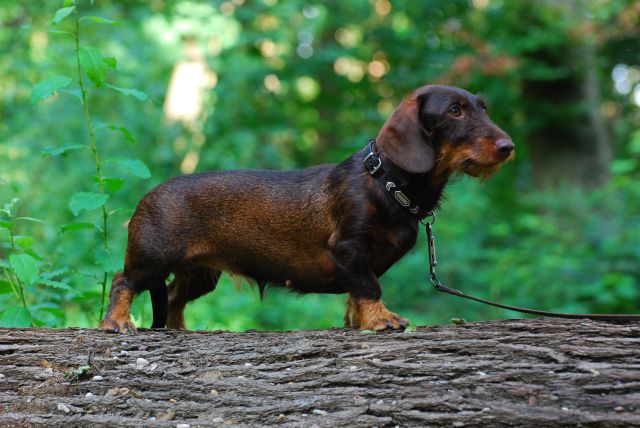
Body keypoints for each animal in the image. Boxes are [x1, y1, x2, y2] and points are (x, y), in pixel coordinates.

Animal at [99, 84, 514, 334]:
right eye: (455, 111)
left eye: (483, 108)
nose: (508, 147)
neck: (385, 182)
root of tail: (148, 195)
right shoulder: (349, 249)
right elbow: (370, 287)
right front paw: (381, 319)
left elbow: (356, 293)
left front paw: (357, 321)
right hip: (153, 258)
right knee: (123, 282)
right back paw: (116, 323)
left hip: (200, 273)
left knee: (171, 298)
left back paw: (179, 330)